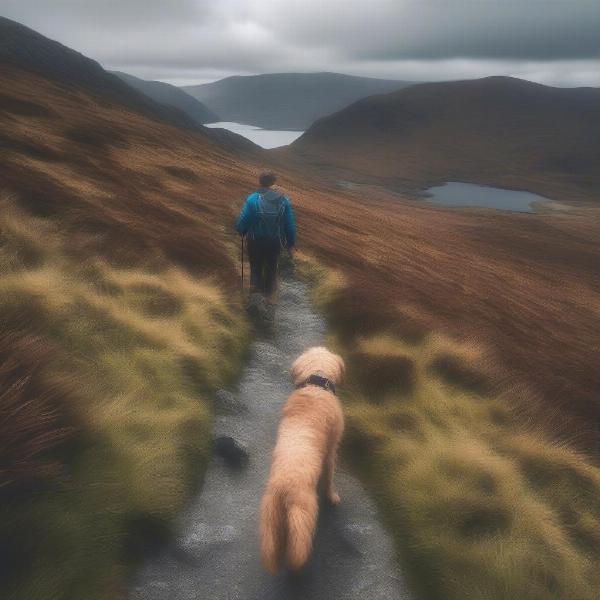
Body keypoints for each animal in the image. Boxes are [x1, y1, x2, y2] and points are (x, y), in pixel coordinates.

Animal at [260, 346, 344, 572]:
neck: (316, 385)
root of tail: (284, 489)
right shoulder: (330, 451)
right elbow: (329, 478)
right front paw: (332, 497)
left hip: (271, 517)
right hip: (304, 514)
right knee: (298, 548)